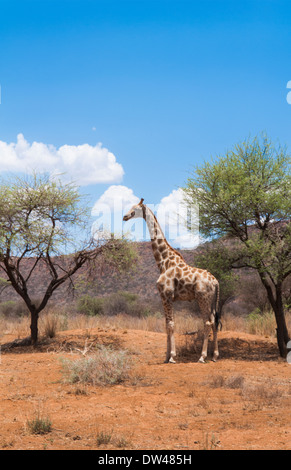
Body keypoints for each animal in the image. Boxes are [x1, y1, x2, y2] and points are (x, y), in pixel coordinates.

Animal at [123, 198, 221, 364]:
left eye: (135, 209)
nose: (125, 216)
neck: (163, 262)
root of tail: (215, 282)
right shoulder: (165, 297)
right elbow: (166, 325)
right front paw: (166, 356)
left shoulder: (166, 295)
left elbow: (170, 324)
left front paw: (172, 356)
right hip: (212, 300)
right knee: (214, 321)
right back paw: (214, 356)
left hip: (202, 298)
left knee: (207, 322)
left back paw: (202, 357)